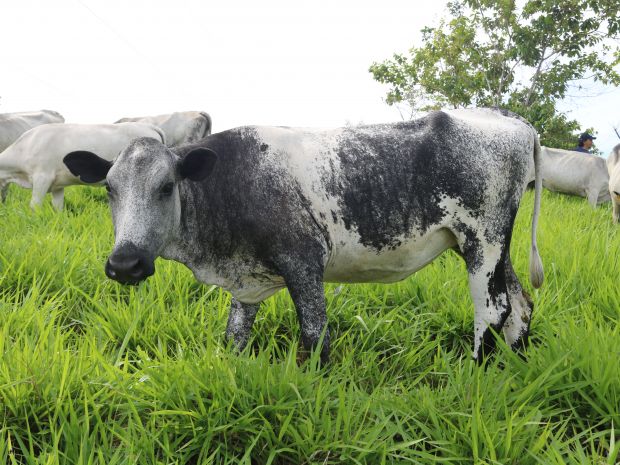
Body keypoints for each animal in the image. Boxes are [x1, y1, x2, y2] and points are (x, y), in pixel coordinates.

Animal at [63, 108, 544, 362]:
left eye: (166, 187)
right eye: (109, 189)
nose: (125, 263)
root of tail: (508, 118)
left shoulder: (303, 262)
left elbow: (314, 336)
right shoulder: (247, 282)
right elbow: (234, 337)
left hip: (482, 242)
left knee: (493, 310)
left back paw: (476, 370)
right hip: (491, 247)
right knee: (520, 304)